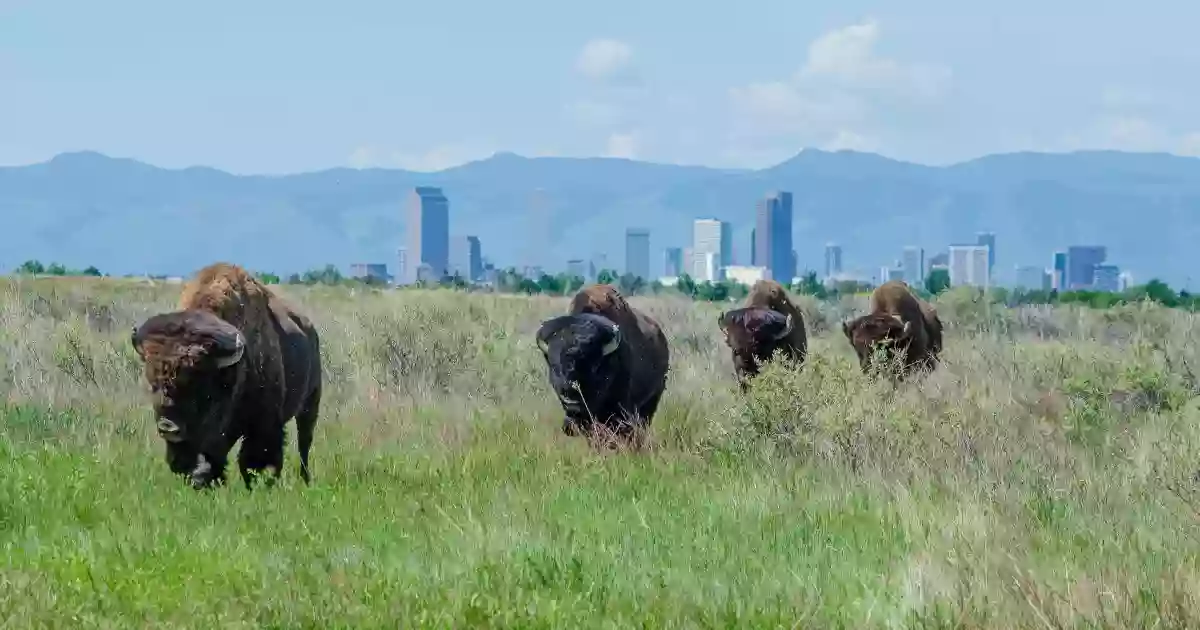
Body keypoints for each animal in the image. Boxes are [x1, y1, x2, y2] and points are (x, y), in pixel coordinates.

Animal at [130, 260, 321, 487]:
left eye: (202, 389)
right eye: (153, 384)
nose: (168, 426)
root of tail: (310, 329)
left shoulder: (262, 424)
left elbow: (255, 457)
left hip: (310, 402)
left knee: (304, 442)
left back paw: (305, 479)